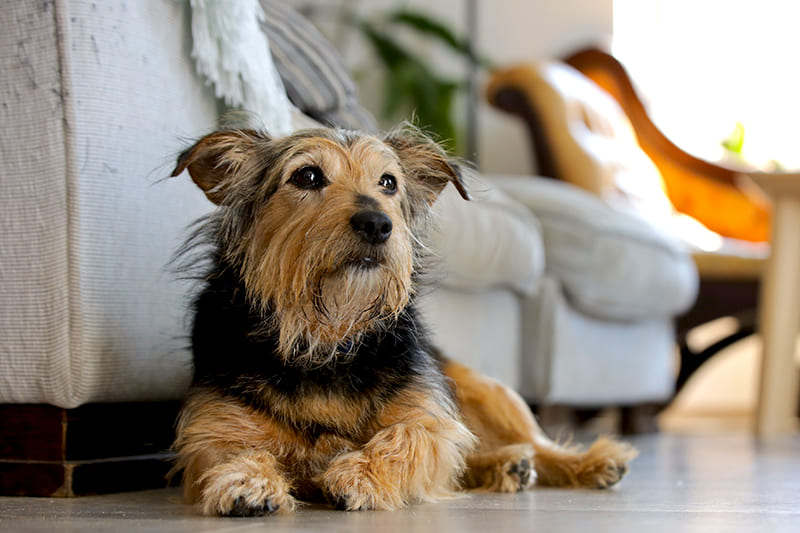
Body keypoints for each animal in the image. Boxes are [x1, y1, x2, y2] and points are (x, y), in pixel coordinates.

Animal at [169, 124, 636, 516]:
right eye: (307, 176)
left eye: (388, 183)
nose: (378, 223)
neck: (328, 335)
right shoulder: (213, 425)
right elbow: (231, 448)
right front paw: (245, 479)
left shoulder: (430, 416)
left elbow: (411, 436)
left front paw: (360, 474)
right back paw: (505, 466)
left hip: (481, 388)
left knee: (533, 441)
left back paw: (587, 463)